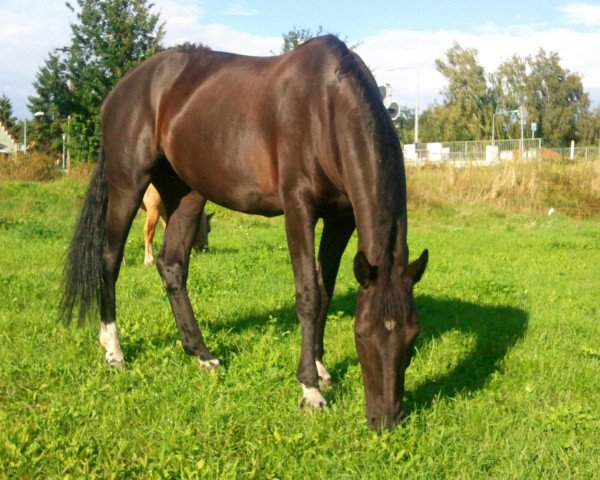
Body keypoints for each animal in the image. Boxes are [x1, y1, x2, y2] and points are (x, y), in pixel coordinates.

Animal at [59, 35, 426, 430]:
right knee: (109, 259)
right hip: (128, 182)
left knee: (172, 266)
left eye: (413, 335)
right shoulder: (298, 208)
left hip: (187, 194)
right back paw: (113, 348)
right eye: (361, 334)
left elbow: (325, 292)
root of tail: (121, 89)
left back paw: (202, 354)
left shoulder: (341, 218)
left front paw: (321, 368)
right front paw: (310, 390)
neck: (325, 109)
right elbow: (309, 294)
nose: (386, 419)